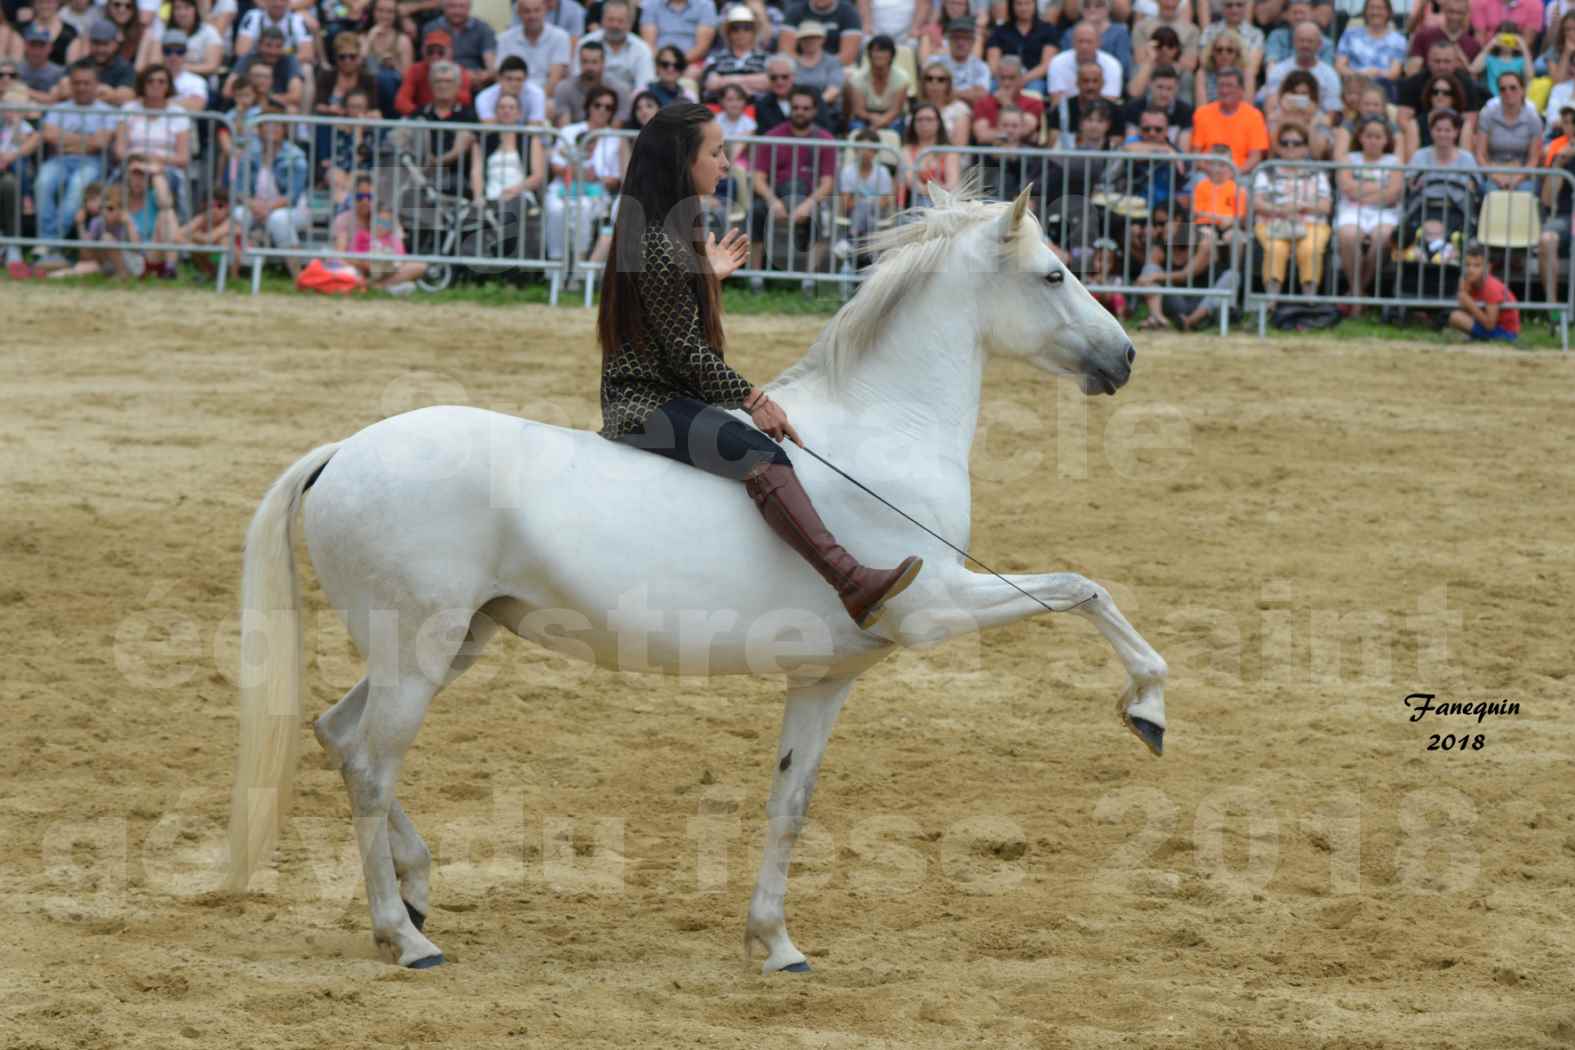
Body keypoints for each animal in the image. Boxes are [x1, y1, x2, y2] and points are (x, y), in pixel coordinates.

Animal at [225, 186, 1171, 976]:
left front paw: (775, 943)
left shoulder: (826, 679)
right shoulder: (934, 608)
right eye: (1053, 273)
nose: (1125, 357)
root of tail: (345, 450)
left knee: (338, 737)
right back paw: (405, 936)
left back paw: (419, 890)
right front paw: (1148, 707)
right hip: (417, 654)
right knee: (370, 770)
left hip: (450, 644)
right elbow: (1081, 588)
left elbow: (790, 803)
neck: (883, 429)